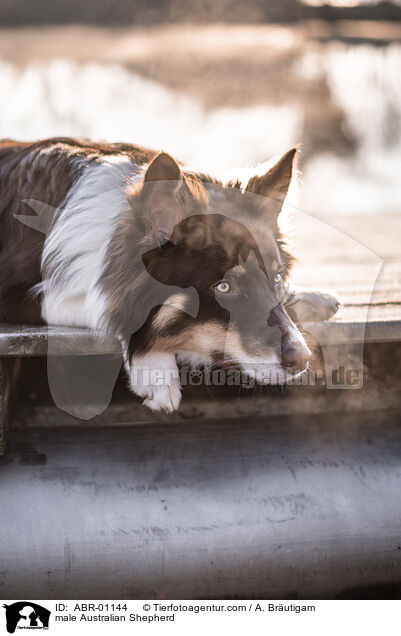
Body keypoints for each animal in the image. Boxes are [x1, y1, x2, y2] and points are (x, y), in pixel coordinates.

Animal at [0, 138, 338, 412]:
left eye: (277, 278)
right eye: (224, 287)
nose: (302, 359)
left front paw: (309, 296)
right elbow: (107, 308)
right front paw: (155, 371)